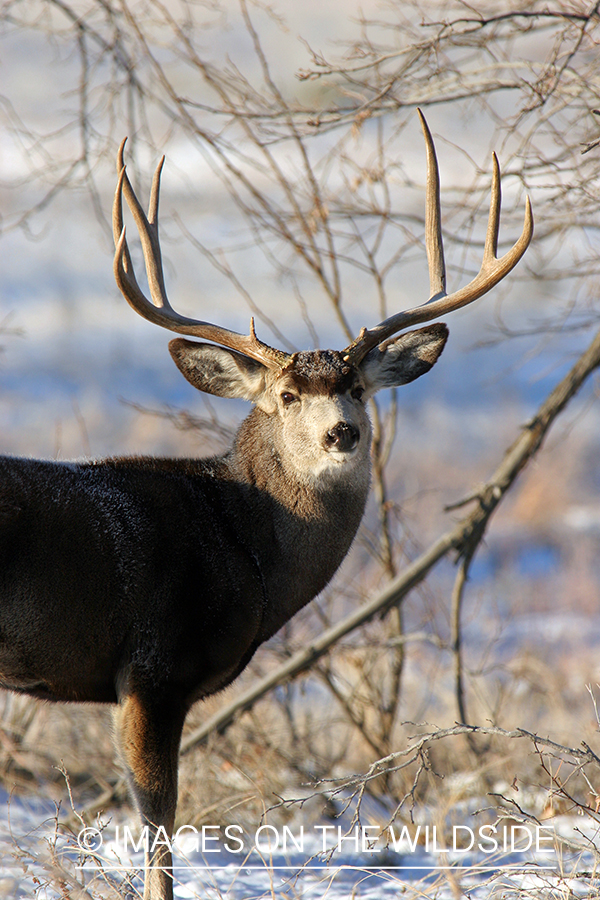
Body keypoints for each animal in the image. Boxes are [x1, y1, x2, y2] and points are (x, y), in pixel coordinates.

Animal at [0, 111, 532, 900]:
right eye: (285, 395)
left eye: (359, 388)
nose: (342, 432)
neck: (240, 539)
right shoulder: (151, 669)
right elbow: (158, 823)